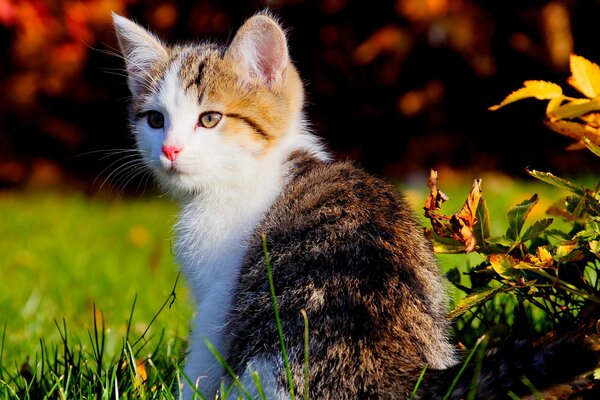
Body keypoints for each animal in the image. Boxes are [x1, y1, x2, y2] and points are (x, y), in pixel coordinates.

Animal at [111, 10, 596, 398]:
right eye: (155, 120)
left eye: (210, 119)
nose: (170, 149)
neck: (247, 173)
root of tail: (390, 368)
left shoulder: (219, 294)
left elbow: (203, 357)